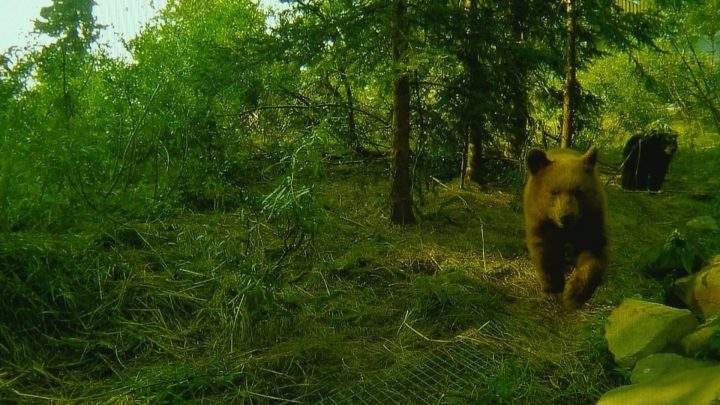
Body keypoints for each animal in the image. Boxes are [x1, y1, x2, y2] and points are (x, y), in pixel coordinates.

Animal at [523, 148, 608, 309]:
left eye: (578, 191)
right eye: (554, 192)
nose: (566, 216)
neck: (566, 230)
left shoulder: (592, 220)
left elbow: (593, 253)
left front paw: (574, 294)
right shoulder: (541, 221)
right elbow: (546, 253)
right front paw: (553, 290)